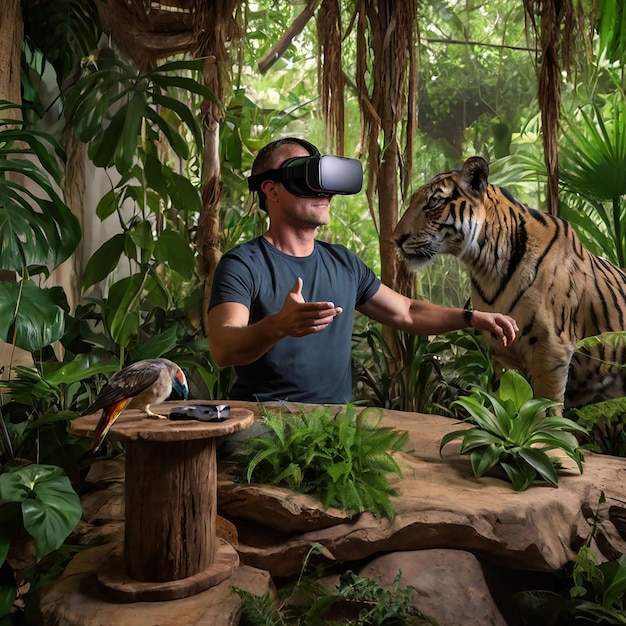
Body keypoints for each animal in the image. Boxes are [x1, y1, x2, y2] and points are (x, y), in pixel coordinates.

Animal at [392, 155, 624, 410]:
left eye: (433, 202)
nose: (396, 239)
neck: (485, 266)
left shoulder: (551, 353)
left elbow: (546, 411)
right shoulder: (504, 355)